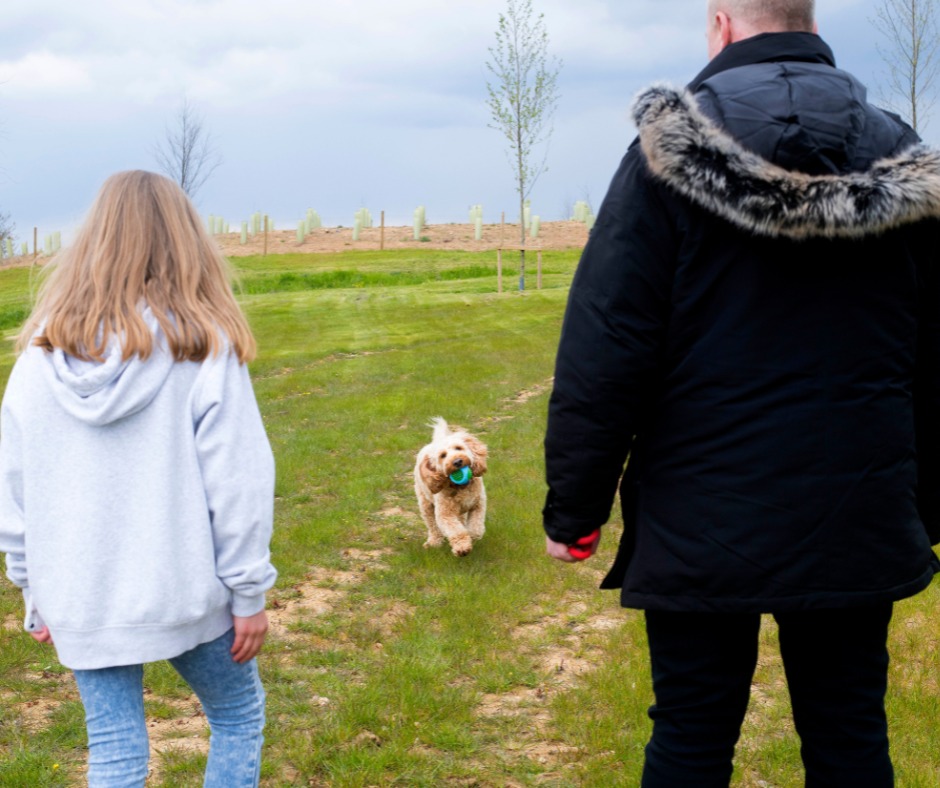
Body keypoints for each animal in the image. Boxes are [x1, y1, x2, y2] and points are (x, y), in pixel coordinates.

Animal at [414, 418, 488, 556]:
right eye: (443, 456)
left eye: (458, 448)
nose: (457, 461)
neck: (461, 487)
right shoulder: (445, 514)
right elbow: (456, 530)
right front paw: (462, 547)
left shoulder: (478, 505)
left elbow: (476, 527)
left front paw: (472, 536)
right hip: (425, 503)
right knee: (432, 525)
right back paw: (434, 541)